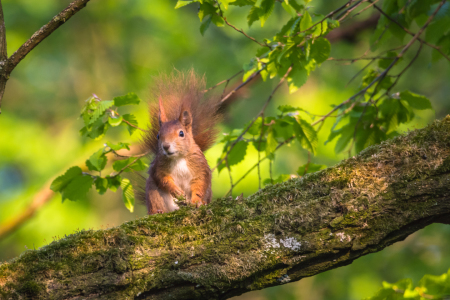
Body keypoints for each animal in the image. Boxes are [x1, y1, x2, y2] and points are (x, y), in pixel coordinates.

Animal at [143, 71, 221, 214]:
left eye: (181, 133)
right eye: (158, 135)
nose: (166, 146)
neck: (178, 158)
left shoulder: (199, 167)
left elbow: (199, 183)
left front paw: (196, 202)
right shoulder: (159, 167)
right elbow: (162, 178)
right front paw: (176, 191)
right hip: (153, 193)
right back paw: (158, 211)